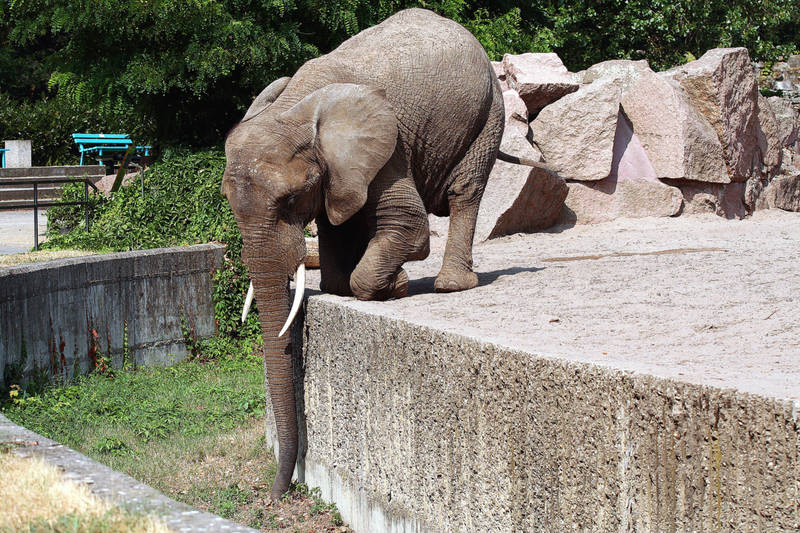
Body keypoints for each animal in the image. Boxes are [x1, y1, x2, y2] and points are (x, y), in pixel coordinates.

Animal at [222, 8, 540, 496]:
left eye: (290, 199)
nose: (279, 492)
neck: (295, 109)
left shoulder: (389, 146)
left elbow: (410, 225)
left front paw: (395, 287)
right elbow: (338, 224)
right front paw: (375, 284)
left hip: (488, 113)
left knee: (466, 189)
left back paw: (451, 286)